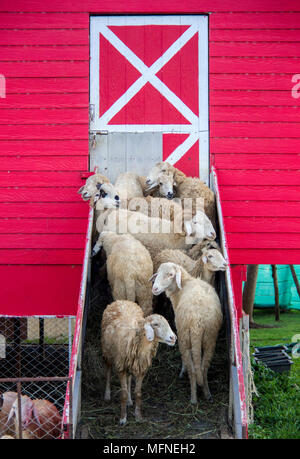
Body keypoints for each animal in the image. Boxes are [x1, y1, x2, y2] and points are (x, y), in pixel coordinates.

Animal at [151, 264, 221, 404]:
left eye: (171, 274)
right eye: (158, 272)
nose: (154, 288)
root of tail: (197, 322)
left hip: (184, 336)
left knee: (192, 369)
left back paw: (193, 398)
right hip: (210, 338)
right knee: (203, 368)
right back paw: (207, 393)